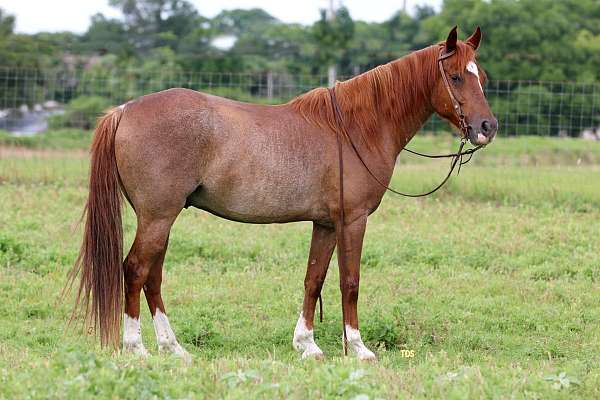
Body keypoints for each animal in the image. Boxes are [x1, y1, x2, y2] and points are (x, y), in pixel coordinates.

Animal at [68, 26, 496, 360]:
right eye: (455, 76)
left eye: (483, 77)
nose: (487, 127)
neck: (356, 127)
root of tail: (123, 110)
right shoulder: (352, 220)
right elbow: (350, 281)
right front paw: (358, 348)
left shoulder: (325, 224)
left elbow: (314, 279)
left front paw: (307, 345)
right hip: (158, 216)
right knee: (135, 270)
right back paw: (136, 348)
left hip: (161, 218)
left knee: (152, 276)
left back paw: (174, 348)